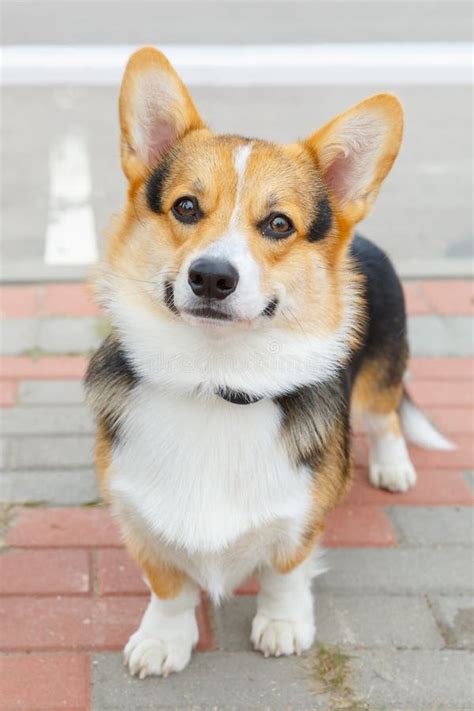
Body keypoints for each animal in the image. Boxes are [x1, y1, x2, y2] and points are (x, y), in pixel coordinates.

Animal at [85, 47, 452, 680]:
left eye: (279, 224)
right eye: (186, 207)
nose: (211, 277)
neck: (213, 382)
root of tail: (365, 240)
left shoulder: (302, 515)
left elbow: (285, 570)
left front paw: (283, 624)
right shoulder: (136, 515)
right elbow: (168, 585)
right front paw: (163, 638)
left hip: (378, 378)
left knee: (385, 417)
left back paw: (393, 467)